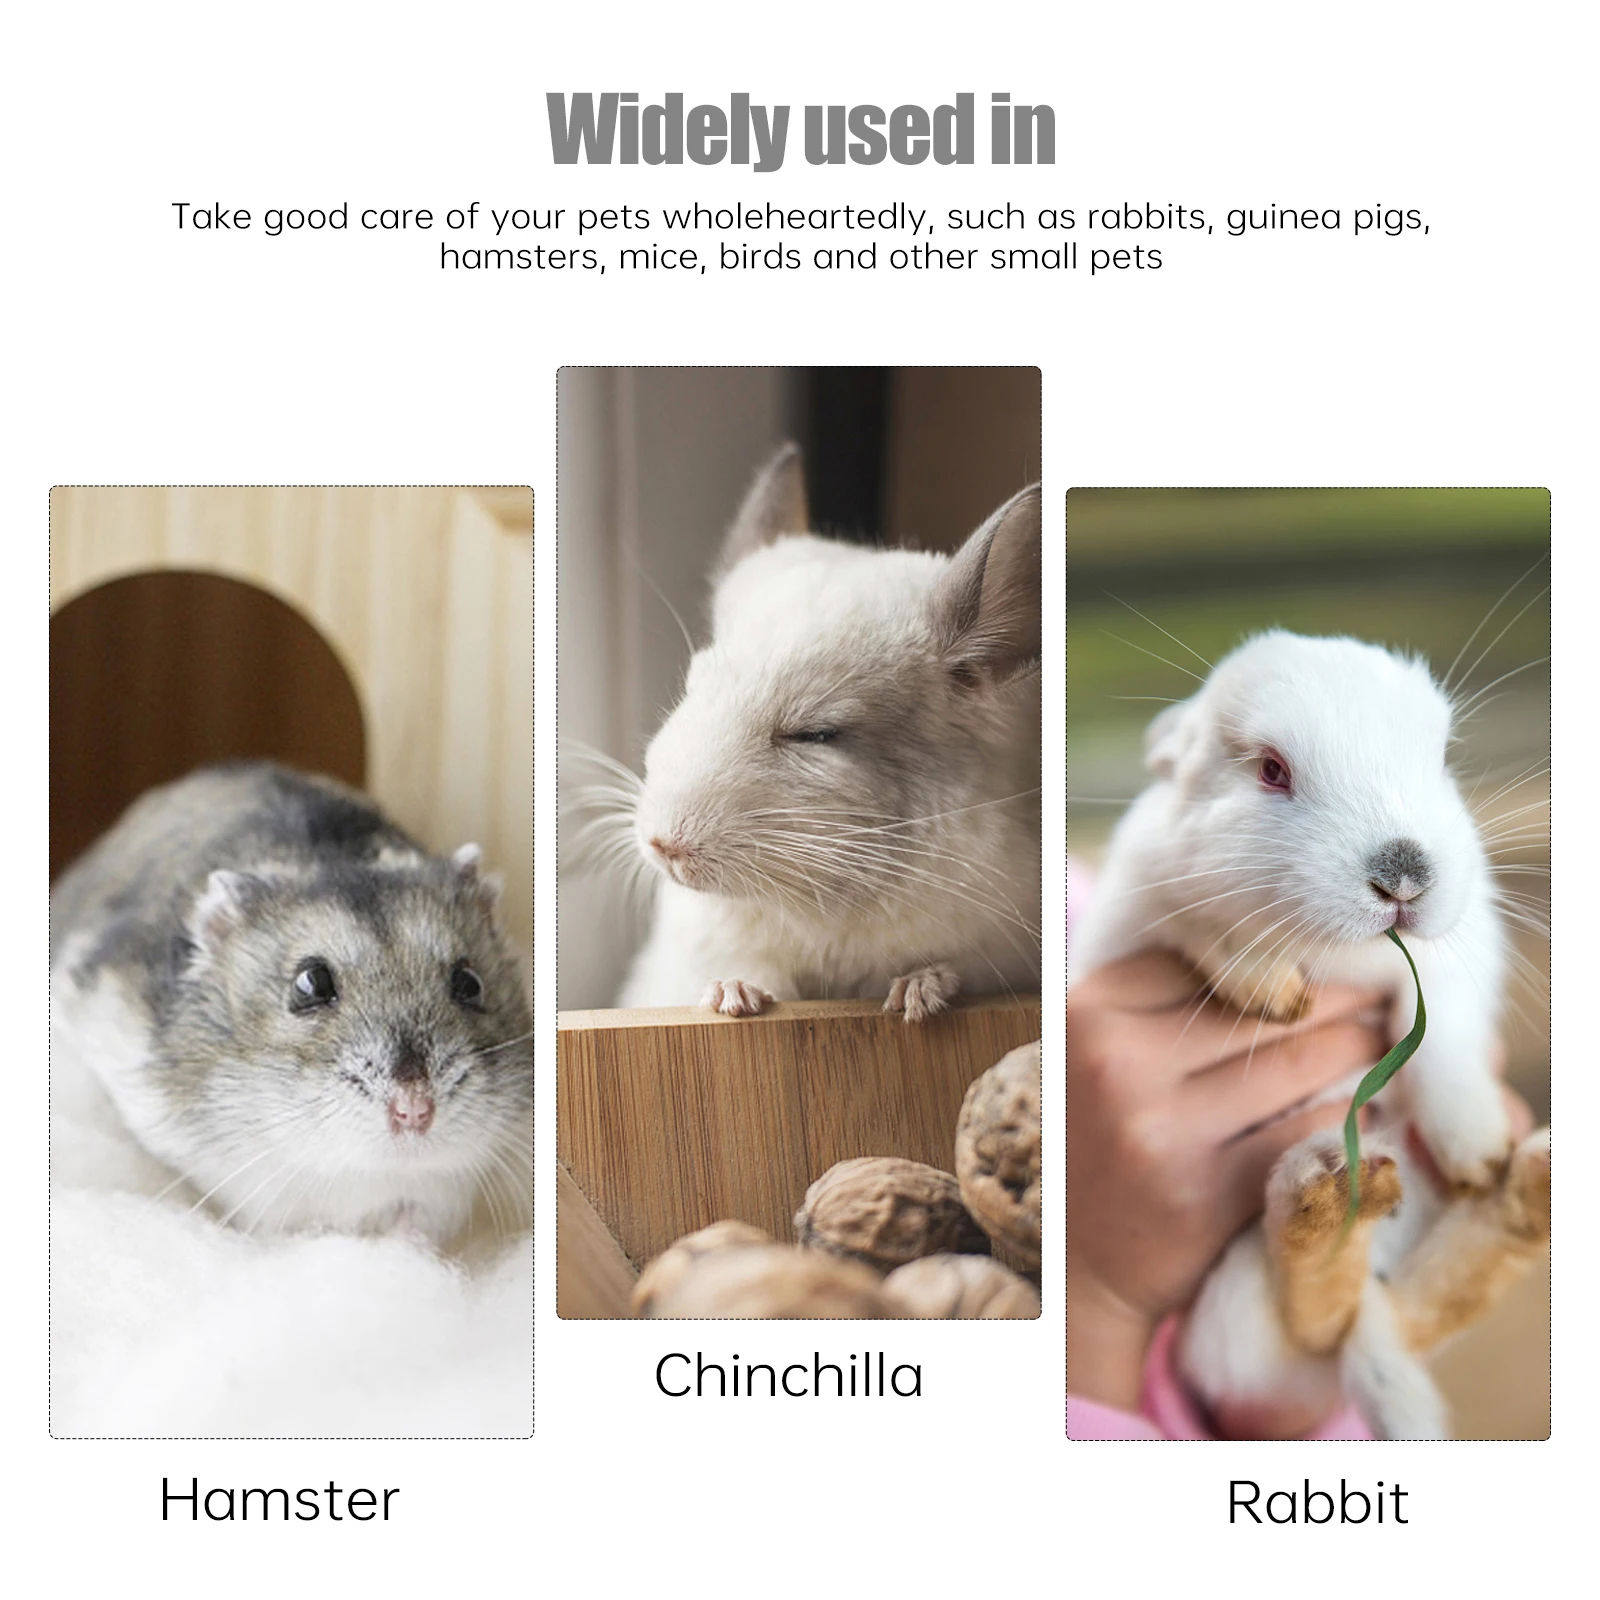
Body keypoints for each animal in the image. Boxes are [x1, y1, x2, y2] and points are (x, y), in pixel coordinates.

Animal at [617, 442, 1041, 1021]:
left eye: (816, 734)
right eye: (691, 688)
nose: (663, 846)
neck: (818, 908)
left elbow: (950, 969)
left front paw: (919, 994)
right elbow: (749, 968)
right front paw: (733, 996)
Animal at [1071, 630, 1549, 1437]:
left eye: (1442, 758)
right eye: (1271, 770)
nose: (1404, 879)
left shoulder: (1459, 957)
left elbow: (1443, 1043)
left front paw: (1478, 1147)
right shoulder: (1133, 923)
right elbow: (1200, 930)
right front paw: (1269, 986)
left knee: (1394, 1314)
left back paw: (1521, 1186)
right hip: (1231, 1306)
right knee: (1321, 1315)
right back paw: (1326, 1194)